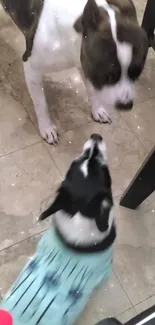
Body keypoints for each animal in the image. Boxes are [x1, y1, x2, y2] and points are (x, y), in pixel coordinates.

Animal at [0, 0, 148, 143]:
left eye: (137, 73)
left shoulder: (85, 63)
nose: (126, 105)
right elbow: (41, 104)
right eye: (108, 76)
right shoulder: (32, 70)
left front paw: (97, 110)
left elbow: (92, 91)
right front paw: (47, 128)